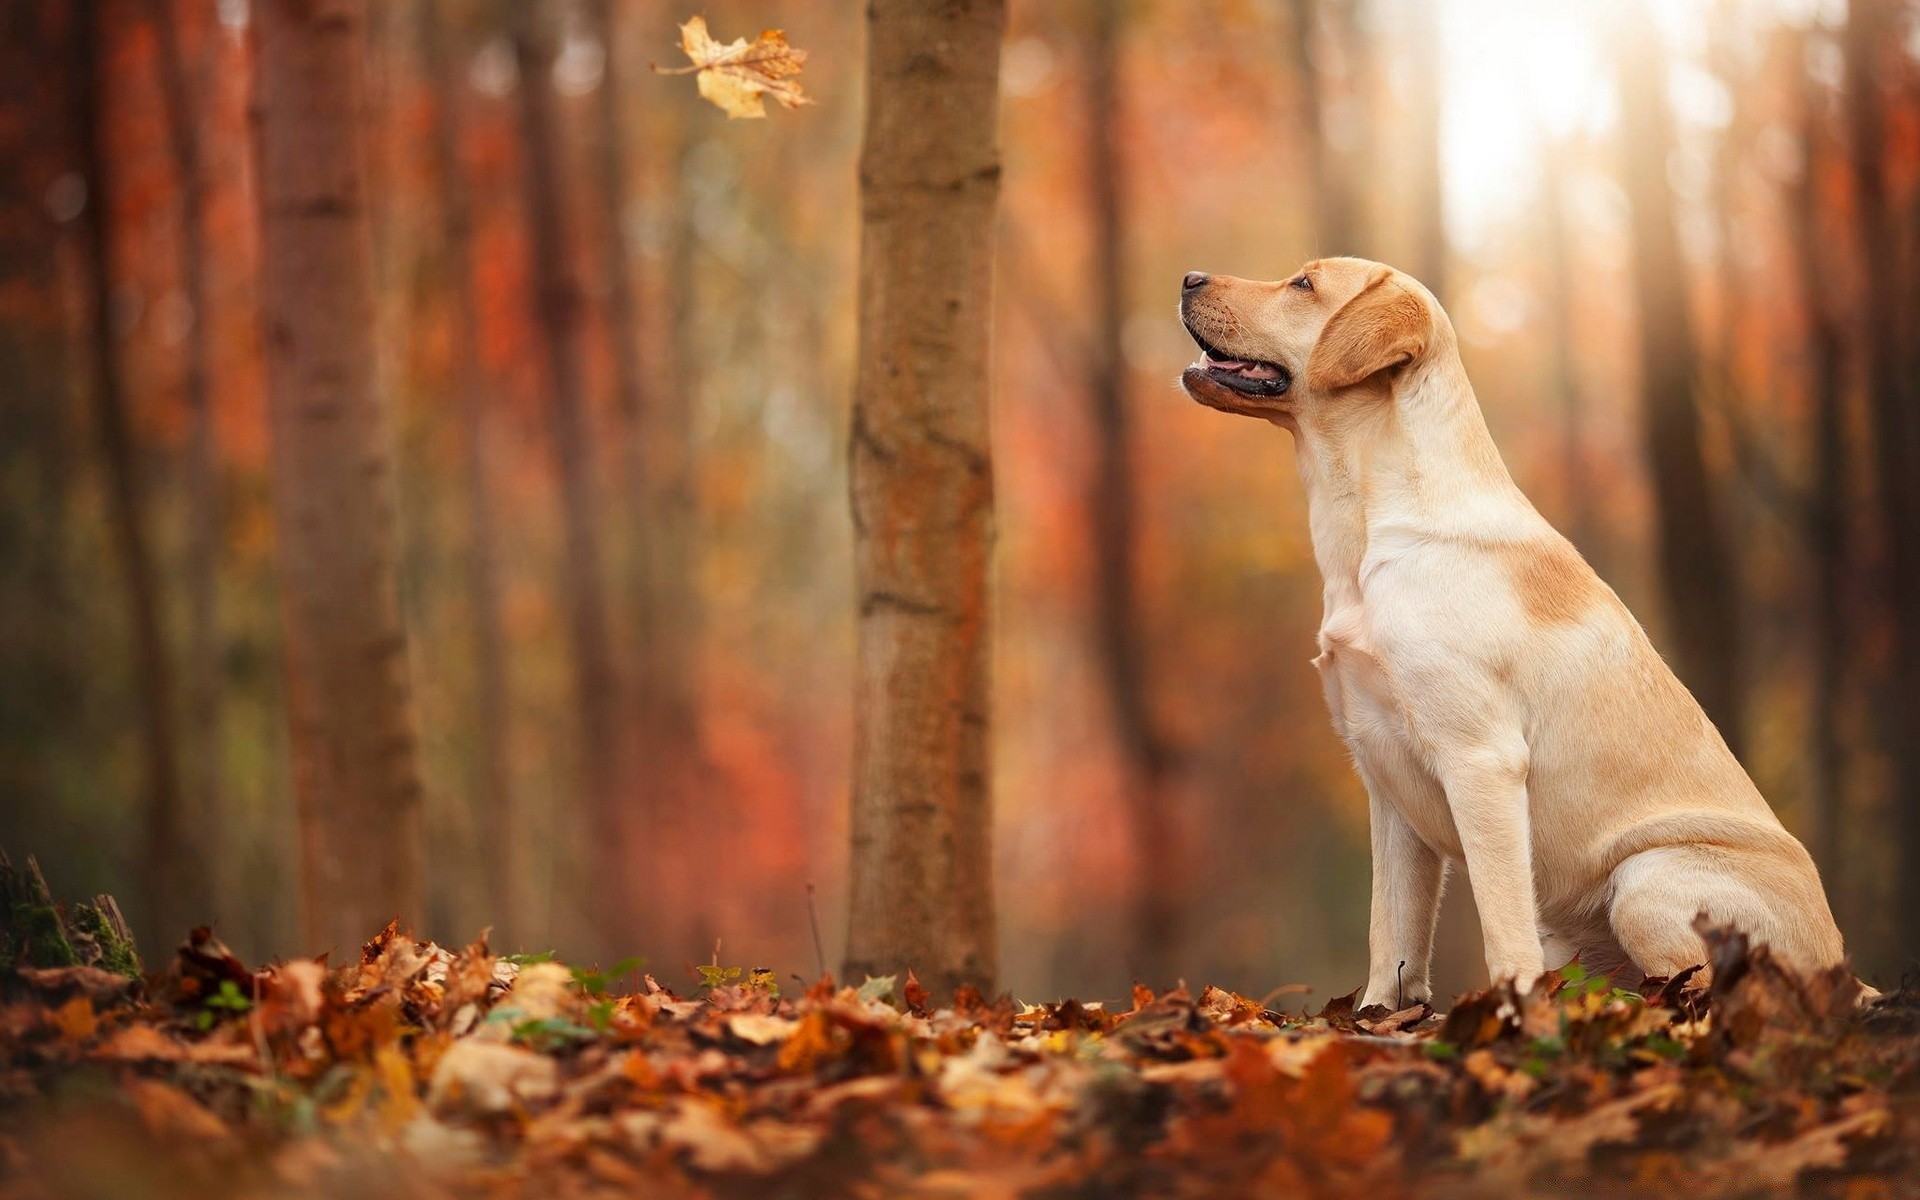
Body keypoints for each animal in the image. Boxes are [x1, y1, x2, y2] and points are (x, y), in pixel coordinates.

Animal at [1175, 257, 1850, 1006]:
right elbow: (1391, 931)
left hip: (1646, 880)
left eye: (1303, 285)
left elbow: (1500, 924)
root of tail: (1849, 972)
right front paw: (1377, 1014)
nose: (1189, 277)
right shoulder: (1384, 779)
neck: (1369, 532)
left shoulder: (1480, 760)